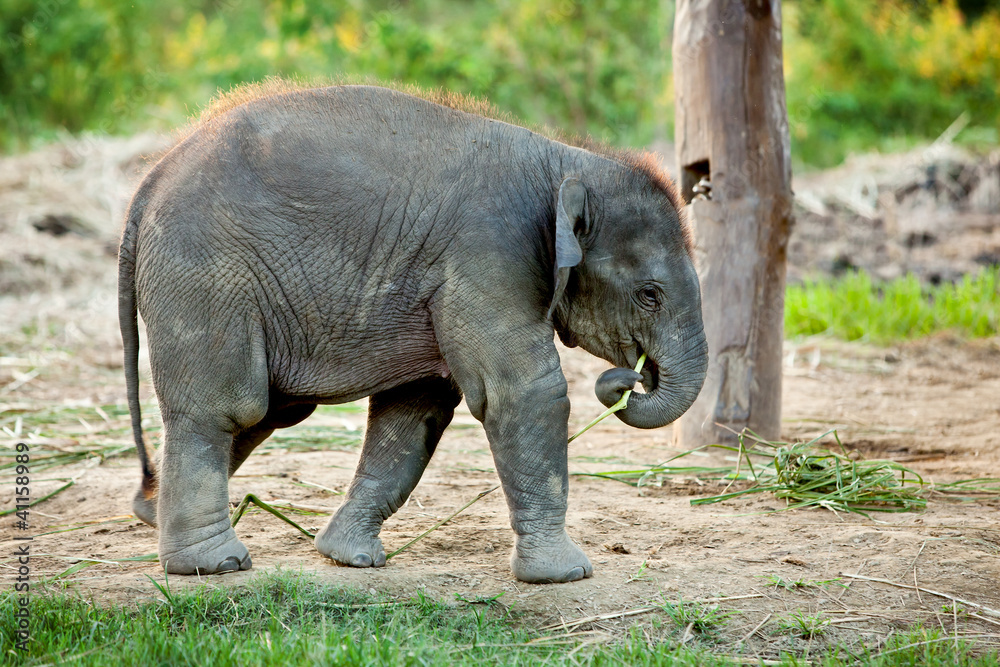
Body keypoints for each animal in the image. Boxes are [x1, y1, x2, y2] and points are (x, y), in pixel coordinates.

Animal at [119, 84, 708, 584]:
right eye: (649, 295)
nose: (629, 379)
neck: (567, 161)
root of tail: (150, 180)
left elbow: (416, 407)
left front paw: (350, 558)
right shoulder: (489, 256)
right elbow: (523, 394)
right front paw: (564, 576)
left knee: (271, 409)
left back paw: (151, 512)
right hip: (207, 277)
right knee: (227, 407)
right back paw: (213, 565)